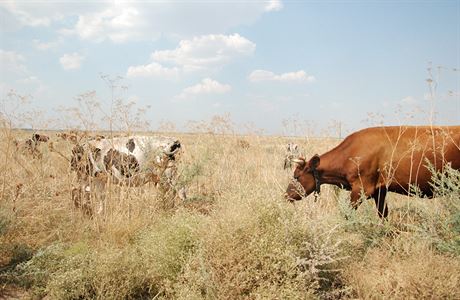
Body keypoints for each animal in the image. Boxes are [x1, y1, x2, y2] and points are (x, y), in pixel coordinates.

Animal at [286, 126, 460, 218]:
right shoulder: (380, 190)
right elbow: (383, 214)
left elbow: (347, 215)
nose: (286, 195)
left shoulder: (362, 189)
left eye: (297, 176)